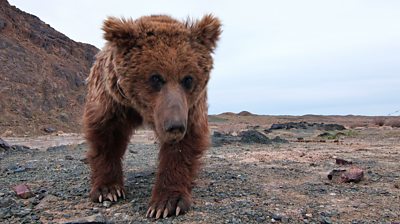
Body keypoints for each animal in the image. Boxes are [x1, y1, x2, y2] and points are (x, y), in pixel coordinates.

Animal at [83, 14, 222, 220]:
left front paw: (166, 203)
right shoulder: (111, 100)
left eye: (188, 79)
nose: (175, 125)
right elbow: (106, 137)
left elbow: (183, 146)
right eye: (156, 77)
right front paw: (108, 190)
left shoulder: (190, 107)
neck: (139, 108)